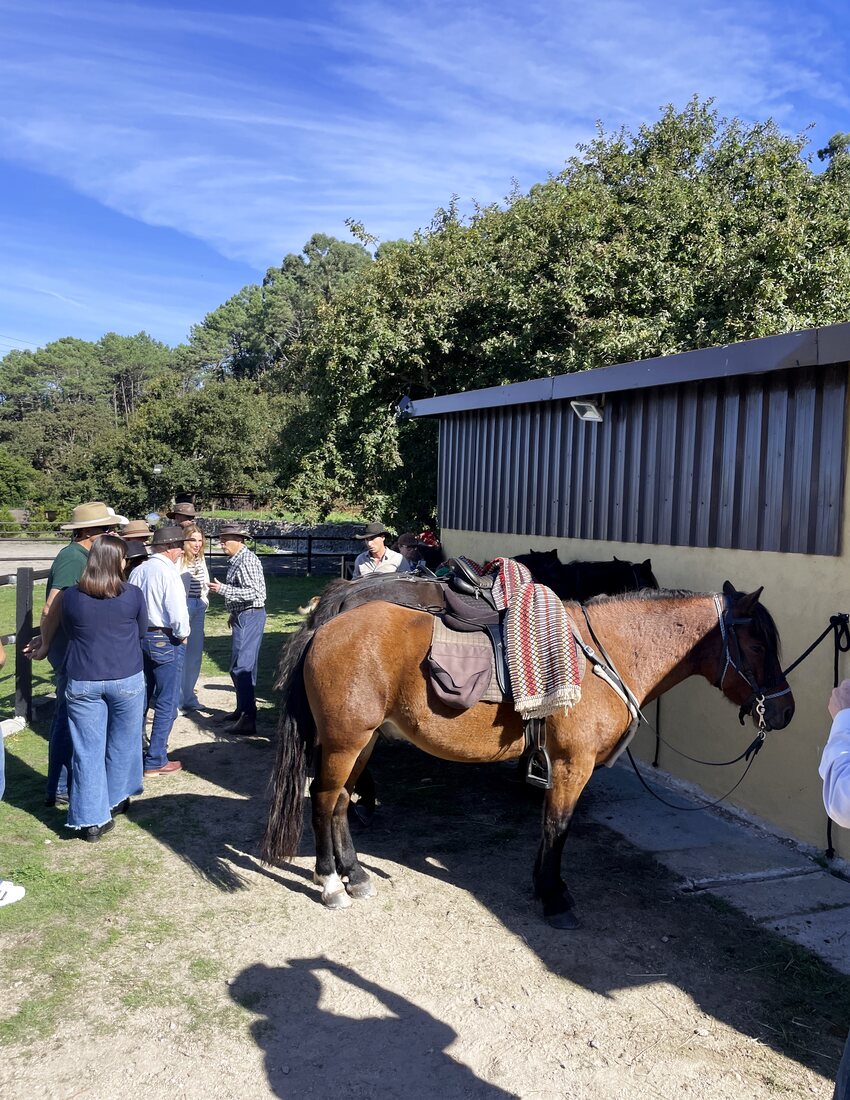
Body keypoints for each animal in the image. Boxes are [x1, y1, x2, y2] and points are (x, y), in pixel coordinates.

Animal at [263, 581, 794, 929]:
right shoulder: (573, 764)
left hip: (364, 740)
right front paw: (555, 898)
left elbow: (547, 825)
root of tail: (326, 626)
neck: (603, 656)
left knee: (341, 802)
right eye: (756, 643)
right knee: (323, 800)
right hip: (345, 740)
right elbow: (559, 825)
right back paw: (331, 885)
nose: (784, 710)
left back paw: (354, 875)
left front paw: (543, 886)